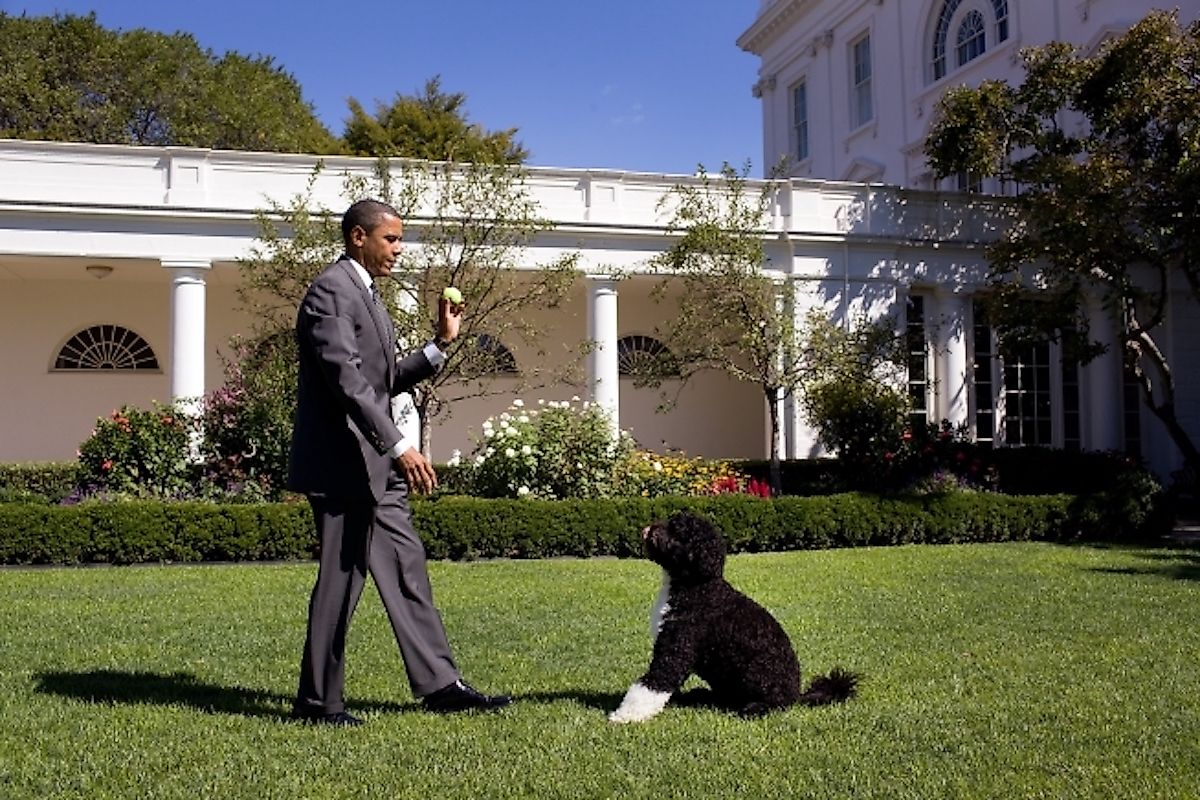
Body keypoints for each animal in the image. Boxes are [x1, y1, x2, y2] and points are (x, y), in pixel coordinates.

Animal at [609, 513, 854, 724]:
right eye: (670, 521)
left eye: (677, 530)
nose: (649, 529)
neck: (697, 587)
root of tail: (797, 694)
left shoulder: (675, 651)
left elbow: (651, 685)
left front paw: (624, 716)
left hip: (760, 679)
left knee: (776, 704)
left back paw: (754, 708)